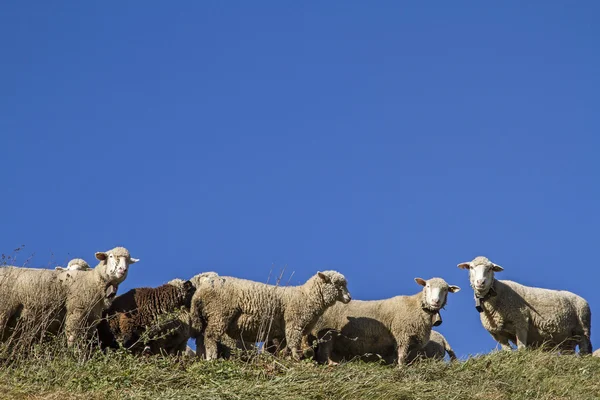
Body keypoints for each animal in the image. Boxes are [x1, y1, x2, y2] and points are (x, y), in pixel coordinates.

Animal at [0, 245, 138, 346]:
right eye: (110, 256)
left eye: (128, 261)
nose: (122, 270)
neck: (93, 280)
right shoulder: (76, 309)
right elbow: (72, 335)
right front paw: (72, 353)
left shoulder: (92, 318)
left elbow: (86, 338)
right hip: (4, 308)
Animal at [192, 270, 352, 360]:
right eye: (338, 284)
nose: (349, 298)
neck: (307, 296)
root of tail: (200, 292)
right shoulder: (294, 323)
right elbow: (293, 342)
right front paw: (296, 357)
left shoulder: (282, 332)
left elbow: (282, 347)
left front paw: (282, 358)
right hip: (220, 313)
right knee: (211, 336)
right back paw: (212, 358)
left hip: (208, 315)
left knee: (202, 338)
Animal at [310, 276, 460, 368]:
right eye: (427, 286)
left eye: (445, 289)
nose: (435, 301)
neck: (416, 305)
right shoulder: (402, 335)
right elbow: (402, 356)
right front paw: (400, 369)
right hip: (325, 332)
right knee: (324, 352)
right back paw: (331, 364)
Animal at [458, 256, 592, 354]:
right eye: (471, 267)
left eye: (490, 268)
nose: (481, 282)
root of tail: (582, 299)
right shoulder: (497, 334)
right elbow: (507, 351)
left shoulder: (521, 321)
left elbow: (521, 348)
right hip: (567, 339)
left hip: (583, 328)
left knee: (585, 347)